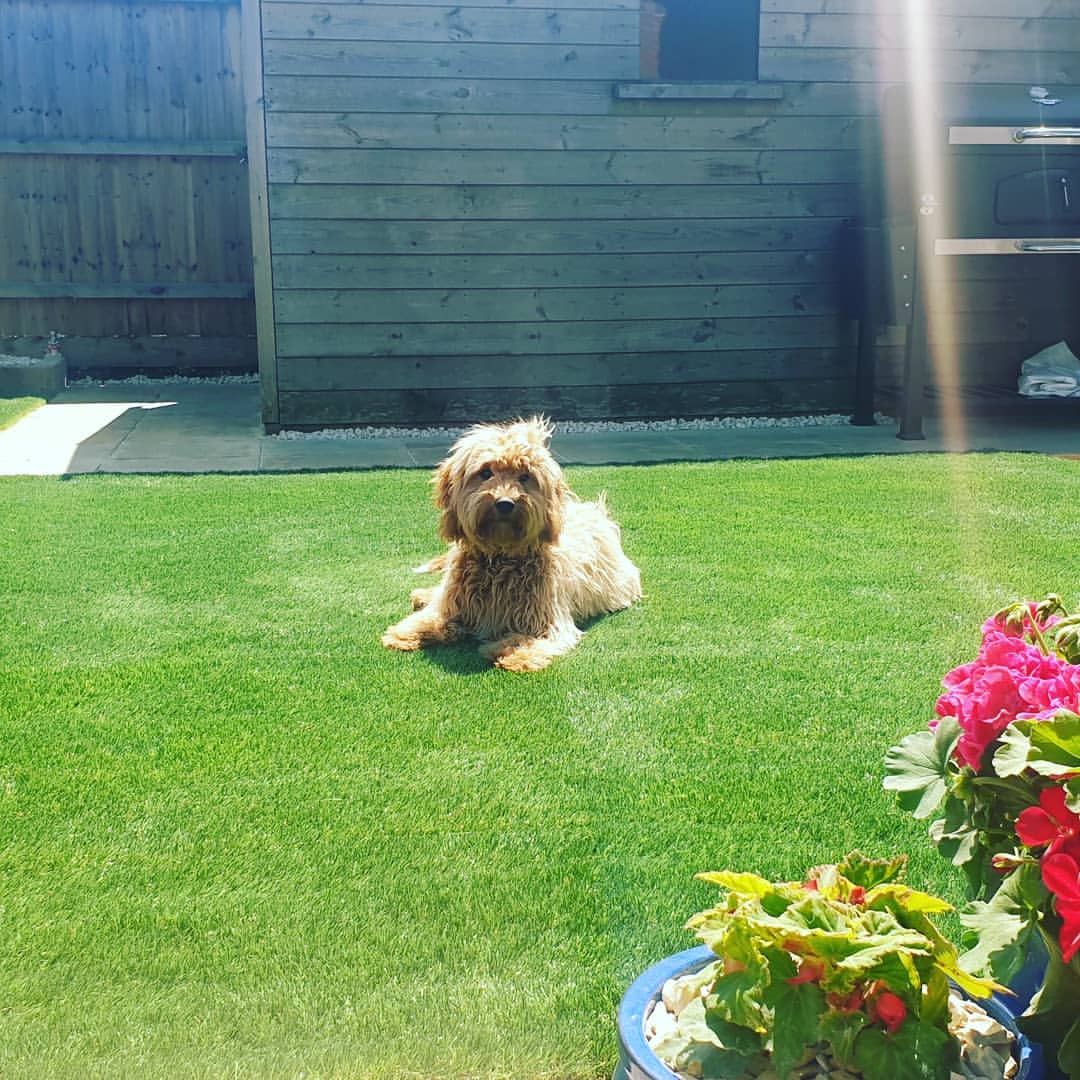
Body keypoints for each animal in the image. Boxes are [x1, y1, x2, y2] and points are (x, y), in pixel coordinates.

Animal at [381, 416, 641, 672]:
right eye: (485, 472)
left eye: (525, 477)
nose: (505, 503)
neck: (500, 557)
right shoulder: (453, 603)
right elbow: (431, 617)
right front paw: (402, 634)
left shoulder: (548, 621)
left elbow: (532, 639)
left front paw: (512, 653)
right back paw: (423, 595)